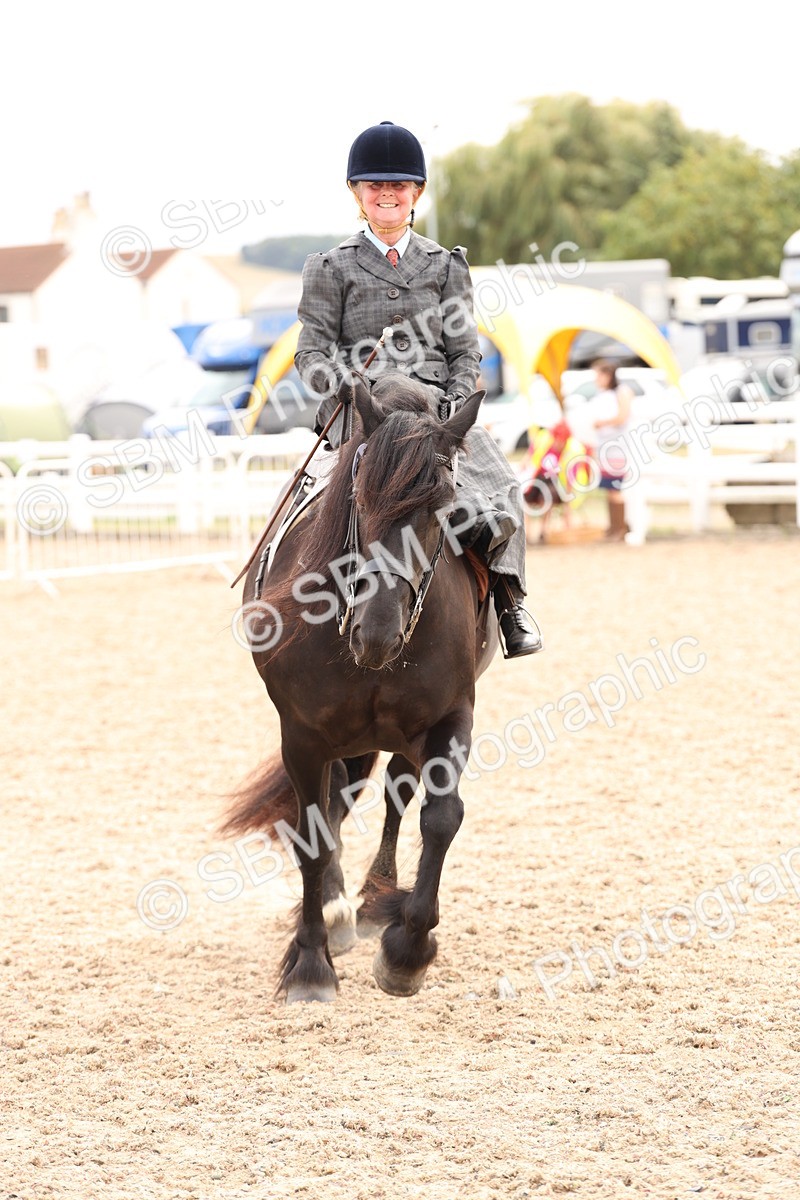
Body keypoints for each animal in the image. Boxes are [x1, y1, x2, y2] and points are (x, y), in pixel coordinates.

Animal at [221, 372, 499, 1003]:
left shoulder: (450, 719)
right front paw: (310, 963)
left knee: (396, 794)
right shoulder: (302, 736)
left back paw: (375, 905)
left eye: (442, 507)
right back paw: (336, 909)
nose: (377, 632)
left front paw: (407, 951)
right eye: (359, 499)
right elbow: (312, 835)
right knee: (333, 808)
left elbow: (441, 818)